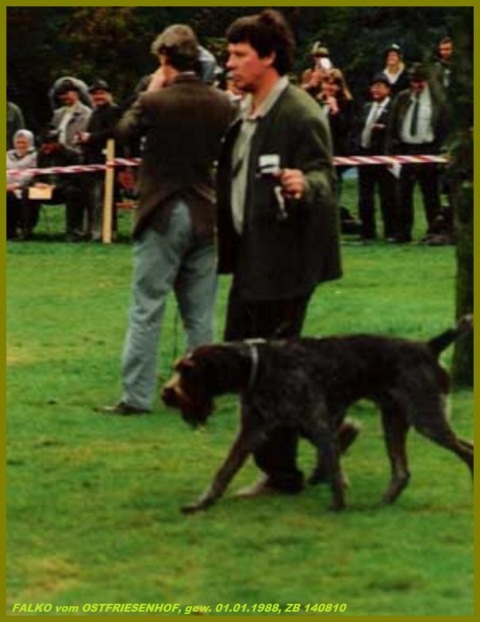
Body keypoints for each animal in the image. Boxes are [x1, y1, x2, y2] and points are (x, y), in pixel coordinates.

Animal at [161, 317, 473, 513]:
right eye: (177, 368)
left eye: (187, 372)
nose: (166, 394)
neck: (258, 367)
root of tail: (429, 346)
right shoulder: (252, 431)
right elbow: (224, 470)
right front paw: (202, 503)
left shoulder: (319, 424)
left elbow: (333, 467)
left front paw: (338, 505)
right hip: (394, 420)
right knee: (402, 472)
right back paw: (382, 505)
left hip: (427, 418)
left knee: (467, 450)